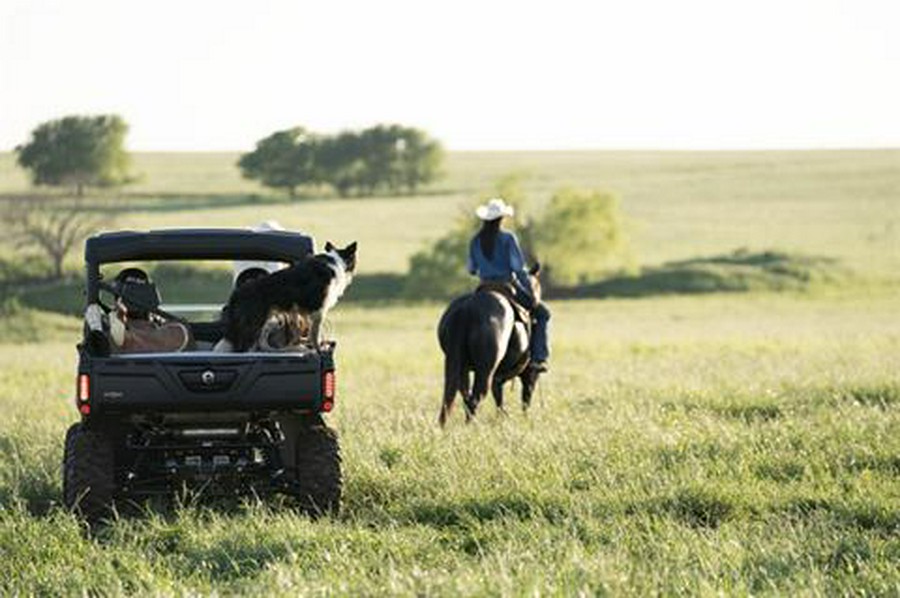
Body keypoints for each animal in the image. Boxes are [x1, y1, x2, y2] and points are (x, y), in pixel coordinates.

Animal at [216, 240, 356, 352]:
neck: (336, 260)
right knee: (243, 348)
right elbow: (315, 333)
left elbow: (301, 330)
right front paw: (318, 349)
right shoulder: (318, 309)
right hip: (253, 323)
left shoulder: (302, 311)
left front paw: (303, 344)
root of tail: (237, 292)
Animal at [436, 266, 540, 426]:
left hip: (459, 366)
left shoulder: (497, 377)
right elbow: (525, 396)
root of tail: (467, 308)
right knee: (475, 398)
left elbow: (499, 397)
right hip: (485, 370)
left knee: (462, 397)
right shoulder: (529, 373)